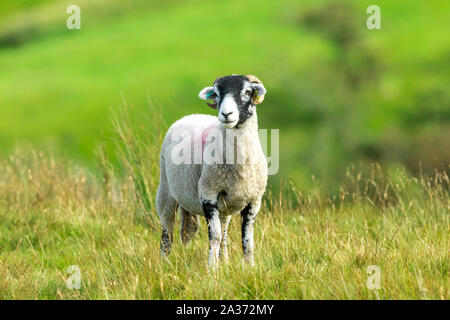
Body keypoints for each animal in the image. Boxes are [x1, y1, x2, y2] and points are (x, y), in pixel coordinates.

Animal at [156, 74, 268, 266]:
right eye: (216, 94)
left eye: (247, 92)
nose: (226, 114)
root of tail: (191, 116)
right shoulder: (208, 195)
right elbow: (213, 236)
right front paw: (212, 268)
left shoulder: (254, 201)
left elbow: (247, 240)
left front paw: (250, 267)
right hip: (166, 193)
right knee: (167, 234)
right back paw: (164, 264)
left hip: (225, 208)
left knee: (224, 233)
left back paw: (225, 261)